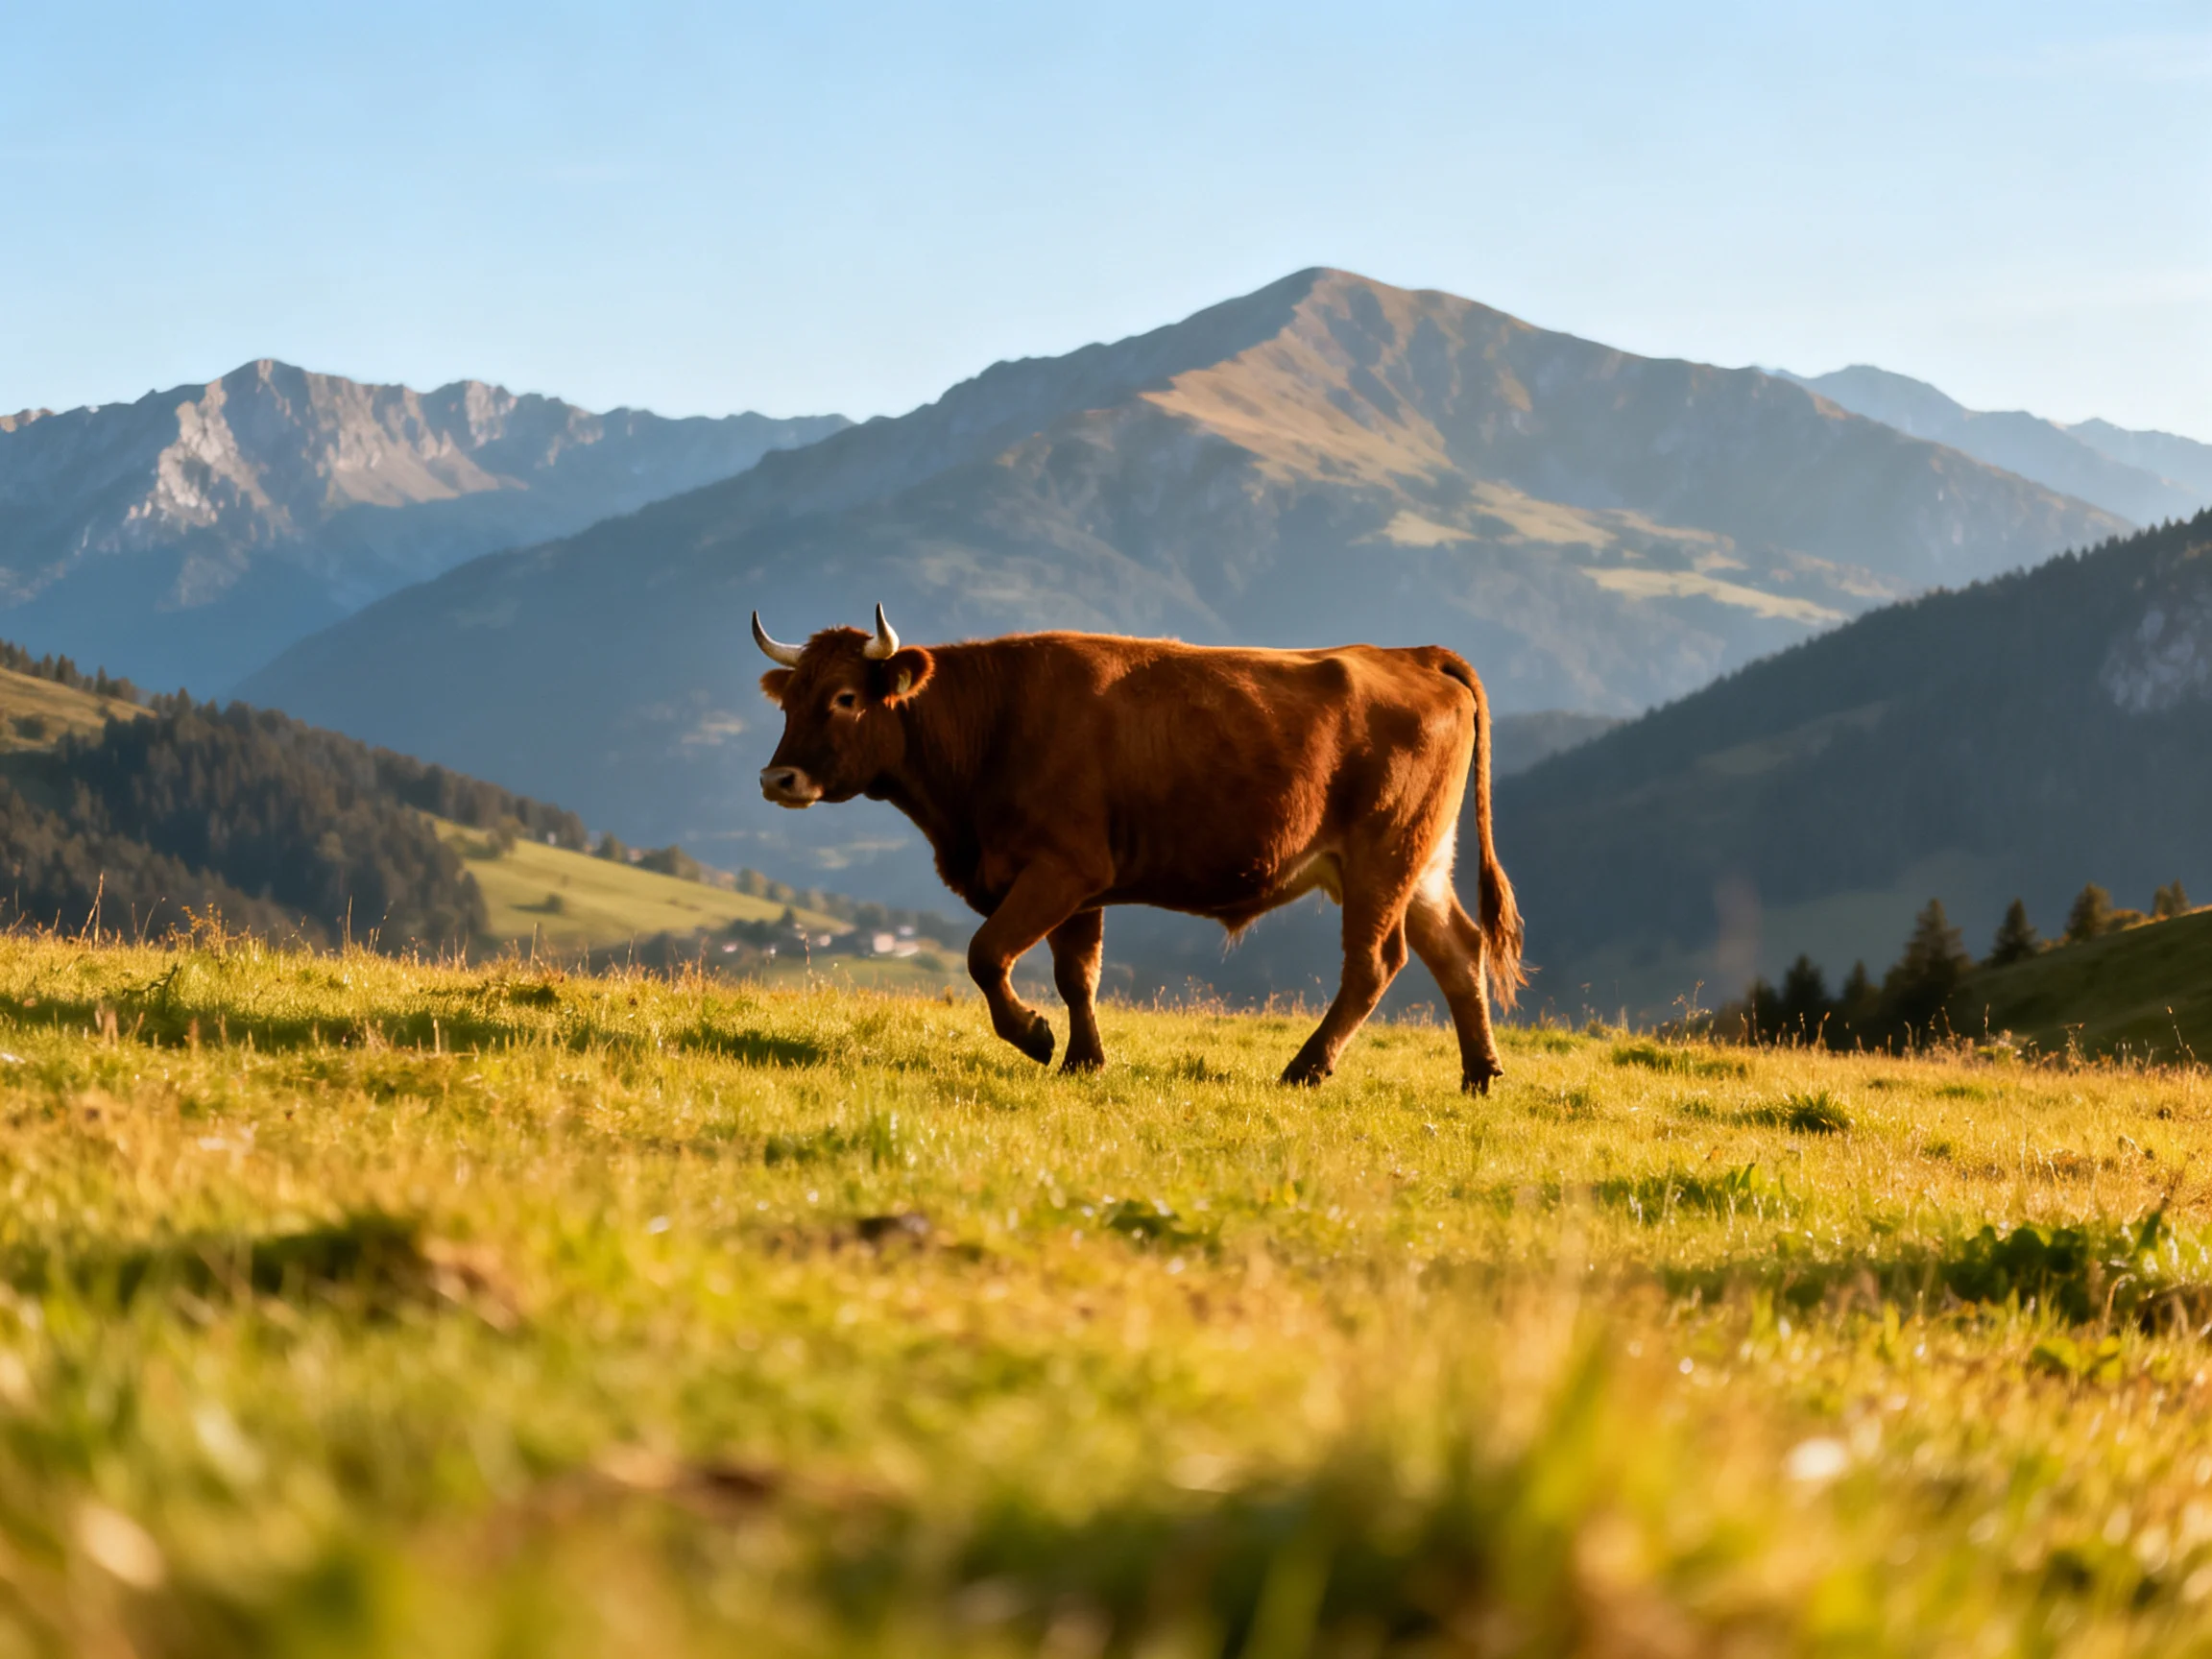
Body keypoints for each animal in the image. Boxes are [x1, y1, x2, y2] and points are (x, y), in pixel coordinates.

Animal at [752, 607, 1524, 1093]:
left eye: (846, 697)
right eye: (789, 700)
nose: (776, 778)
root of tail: (1414, 655)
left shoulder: (1061, 868)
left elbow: (986, 954)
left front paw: (1033, 1037)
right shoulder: (1078, 886)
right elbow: (1077, 977)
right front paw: (1083, 1060)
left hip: (1382, 855)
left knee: (1375, 964)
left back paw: (1306, 1069)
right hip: (1421, 861)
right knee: (1458, 949)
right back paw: (1479, 1074)